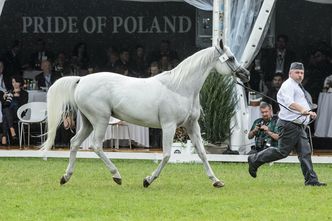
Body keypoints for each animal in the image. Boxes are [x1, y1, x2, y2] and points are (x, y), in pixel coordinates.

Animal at [41, 39, 249, 188]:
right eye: (231, 58)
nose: (245, 74)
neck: (179, 87)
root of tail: (82, 79)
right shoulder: (169, 125)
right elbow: (166, 155)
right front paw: (147, 180)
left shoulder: (192, 125)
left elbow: (203, 153)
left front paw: (216, 181)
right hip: (100, 120)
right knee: (96, 146)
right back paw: (117, 176)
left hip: (88, 122)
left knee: (74, 143)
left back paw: (66, 177)